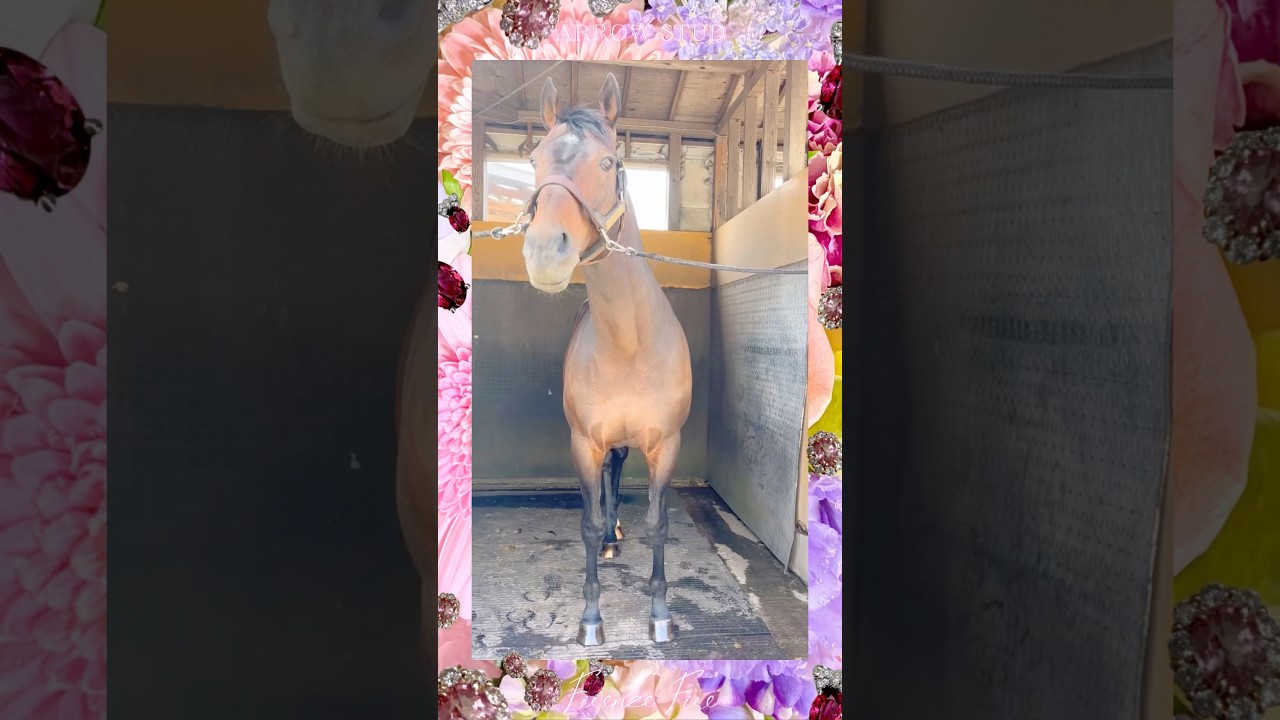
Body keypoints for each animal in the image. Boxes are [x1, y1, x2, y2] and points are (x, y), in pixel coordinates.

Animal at [518, 73, 693, 645]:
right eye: (535, 160)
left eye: (608, 162)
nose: (545, 251)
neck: (630, 348)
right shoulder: (583, 445)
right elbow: (588, 523)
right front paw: (592, 618)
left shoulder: (666, 445)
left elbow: (659, 524)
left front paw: (659, 614)